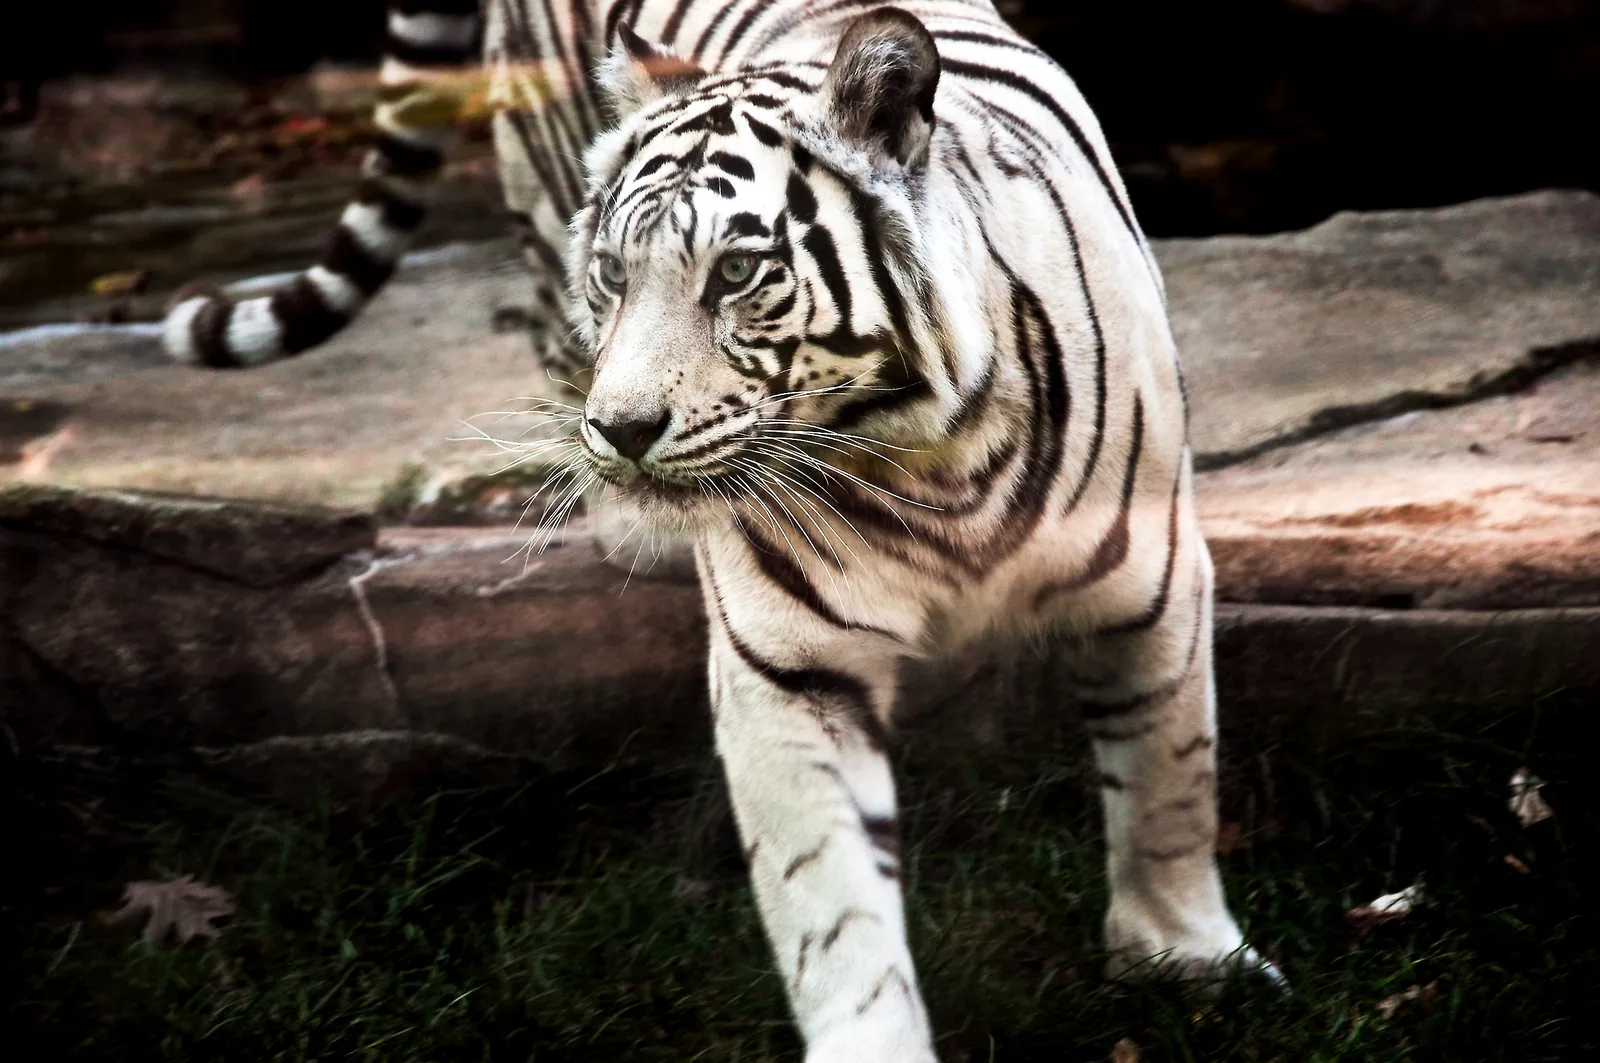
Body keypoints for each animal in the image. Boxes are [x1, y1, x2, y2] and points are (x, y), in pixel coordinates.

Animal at [163, 1, 1281, 1058]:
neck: (936, 459)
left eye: (738, 274)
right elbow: (830, 896)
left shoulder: (1154, 580)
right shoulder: (789, 666)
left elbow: (1169, 782)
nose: (623, 430)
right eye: (616, 272)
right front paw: (872, 1036)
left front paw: (1185, 960)